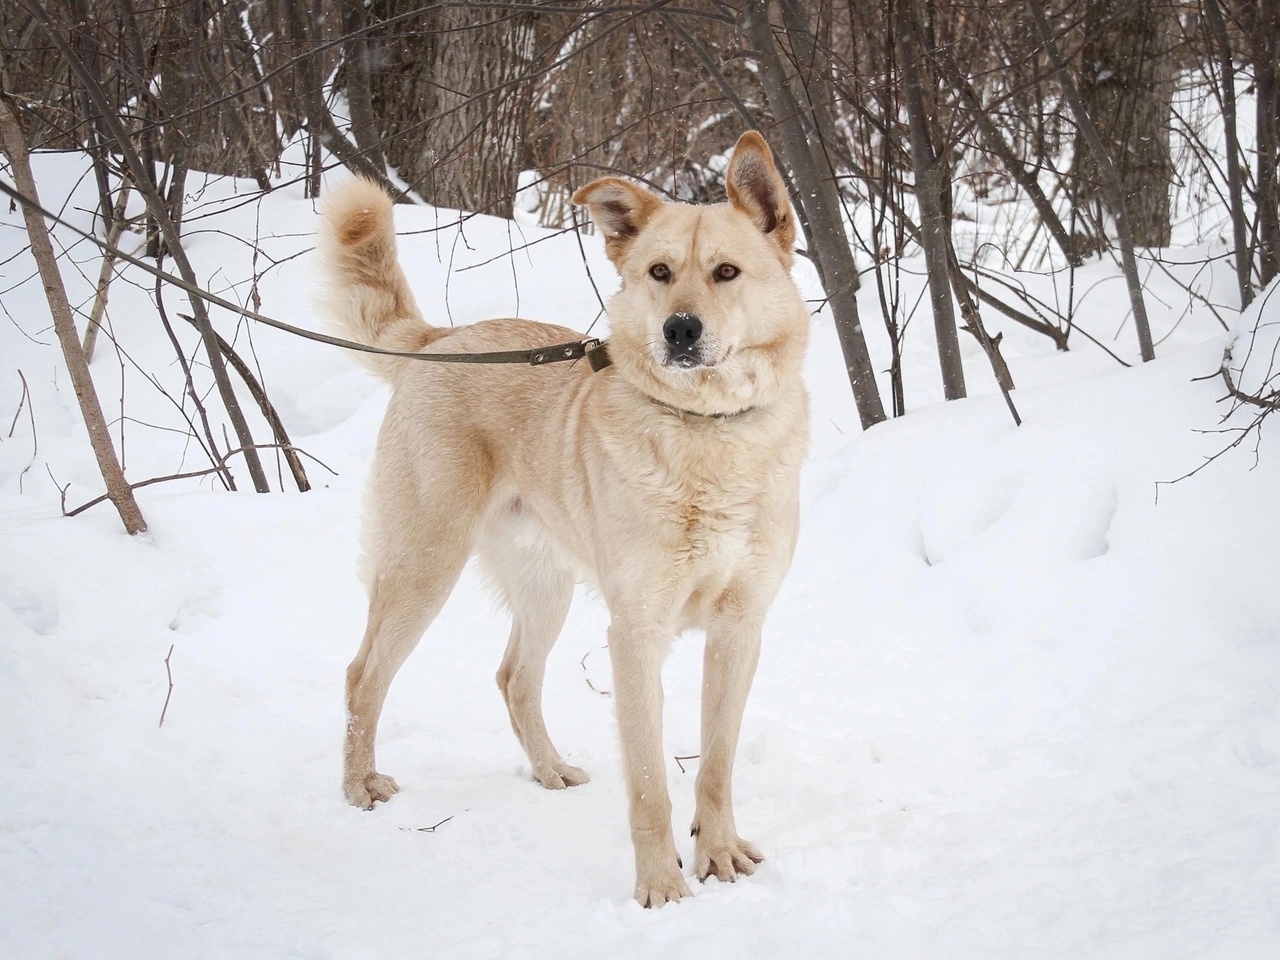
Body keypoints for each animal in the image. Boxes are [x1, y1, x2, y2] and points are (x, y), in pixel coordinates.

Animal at [314, 129, 803, 911]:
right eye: (659, 272)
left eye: (727, 272)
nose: (680, 330)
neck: (707, 432)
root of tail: (442, 339)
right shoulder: (636, 635)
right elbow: (649, 784)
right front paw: (662, 888)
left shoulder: (739, 630)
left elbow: (717, 765)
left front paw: (719, 854)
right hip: (425, 563)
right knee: (364, 675)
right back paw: (359, 785)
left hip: (546, 588)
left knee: (515, 677)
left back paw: (548, 770)